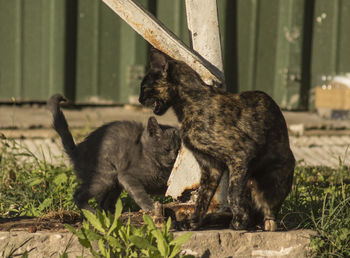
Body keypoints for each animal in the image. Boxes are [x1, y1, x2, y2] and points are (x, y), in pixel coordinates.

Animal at [46, 93, 180, 213]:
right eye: (166, 149)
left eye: (178, 151)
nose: (174, 157)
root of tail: (77, 150)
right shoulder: (126, 175)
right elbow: (139, 193)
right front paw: (150, 207)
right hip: (106, 176)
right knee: (78, 194)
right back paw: (92, 213)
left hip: (114, 184)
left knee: (103, 202)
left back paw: (112, 213)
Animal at [139, 49, 296, 232]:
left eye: (144, 87)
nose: (139, 99)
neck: (189, 102)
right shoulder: (210, 166)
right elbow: (202, 198)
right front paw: (193, 223)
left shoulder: (241, 153)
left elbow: (232, 193)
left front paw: (239, 222)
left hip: (267, 181)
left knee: (266, 211)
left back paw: (262, 223)